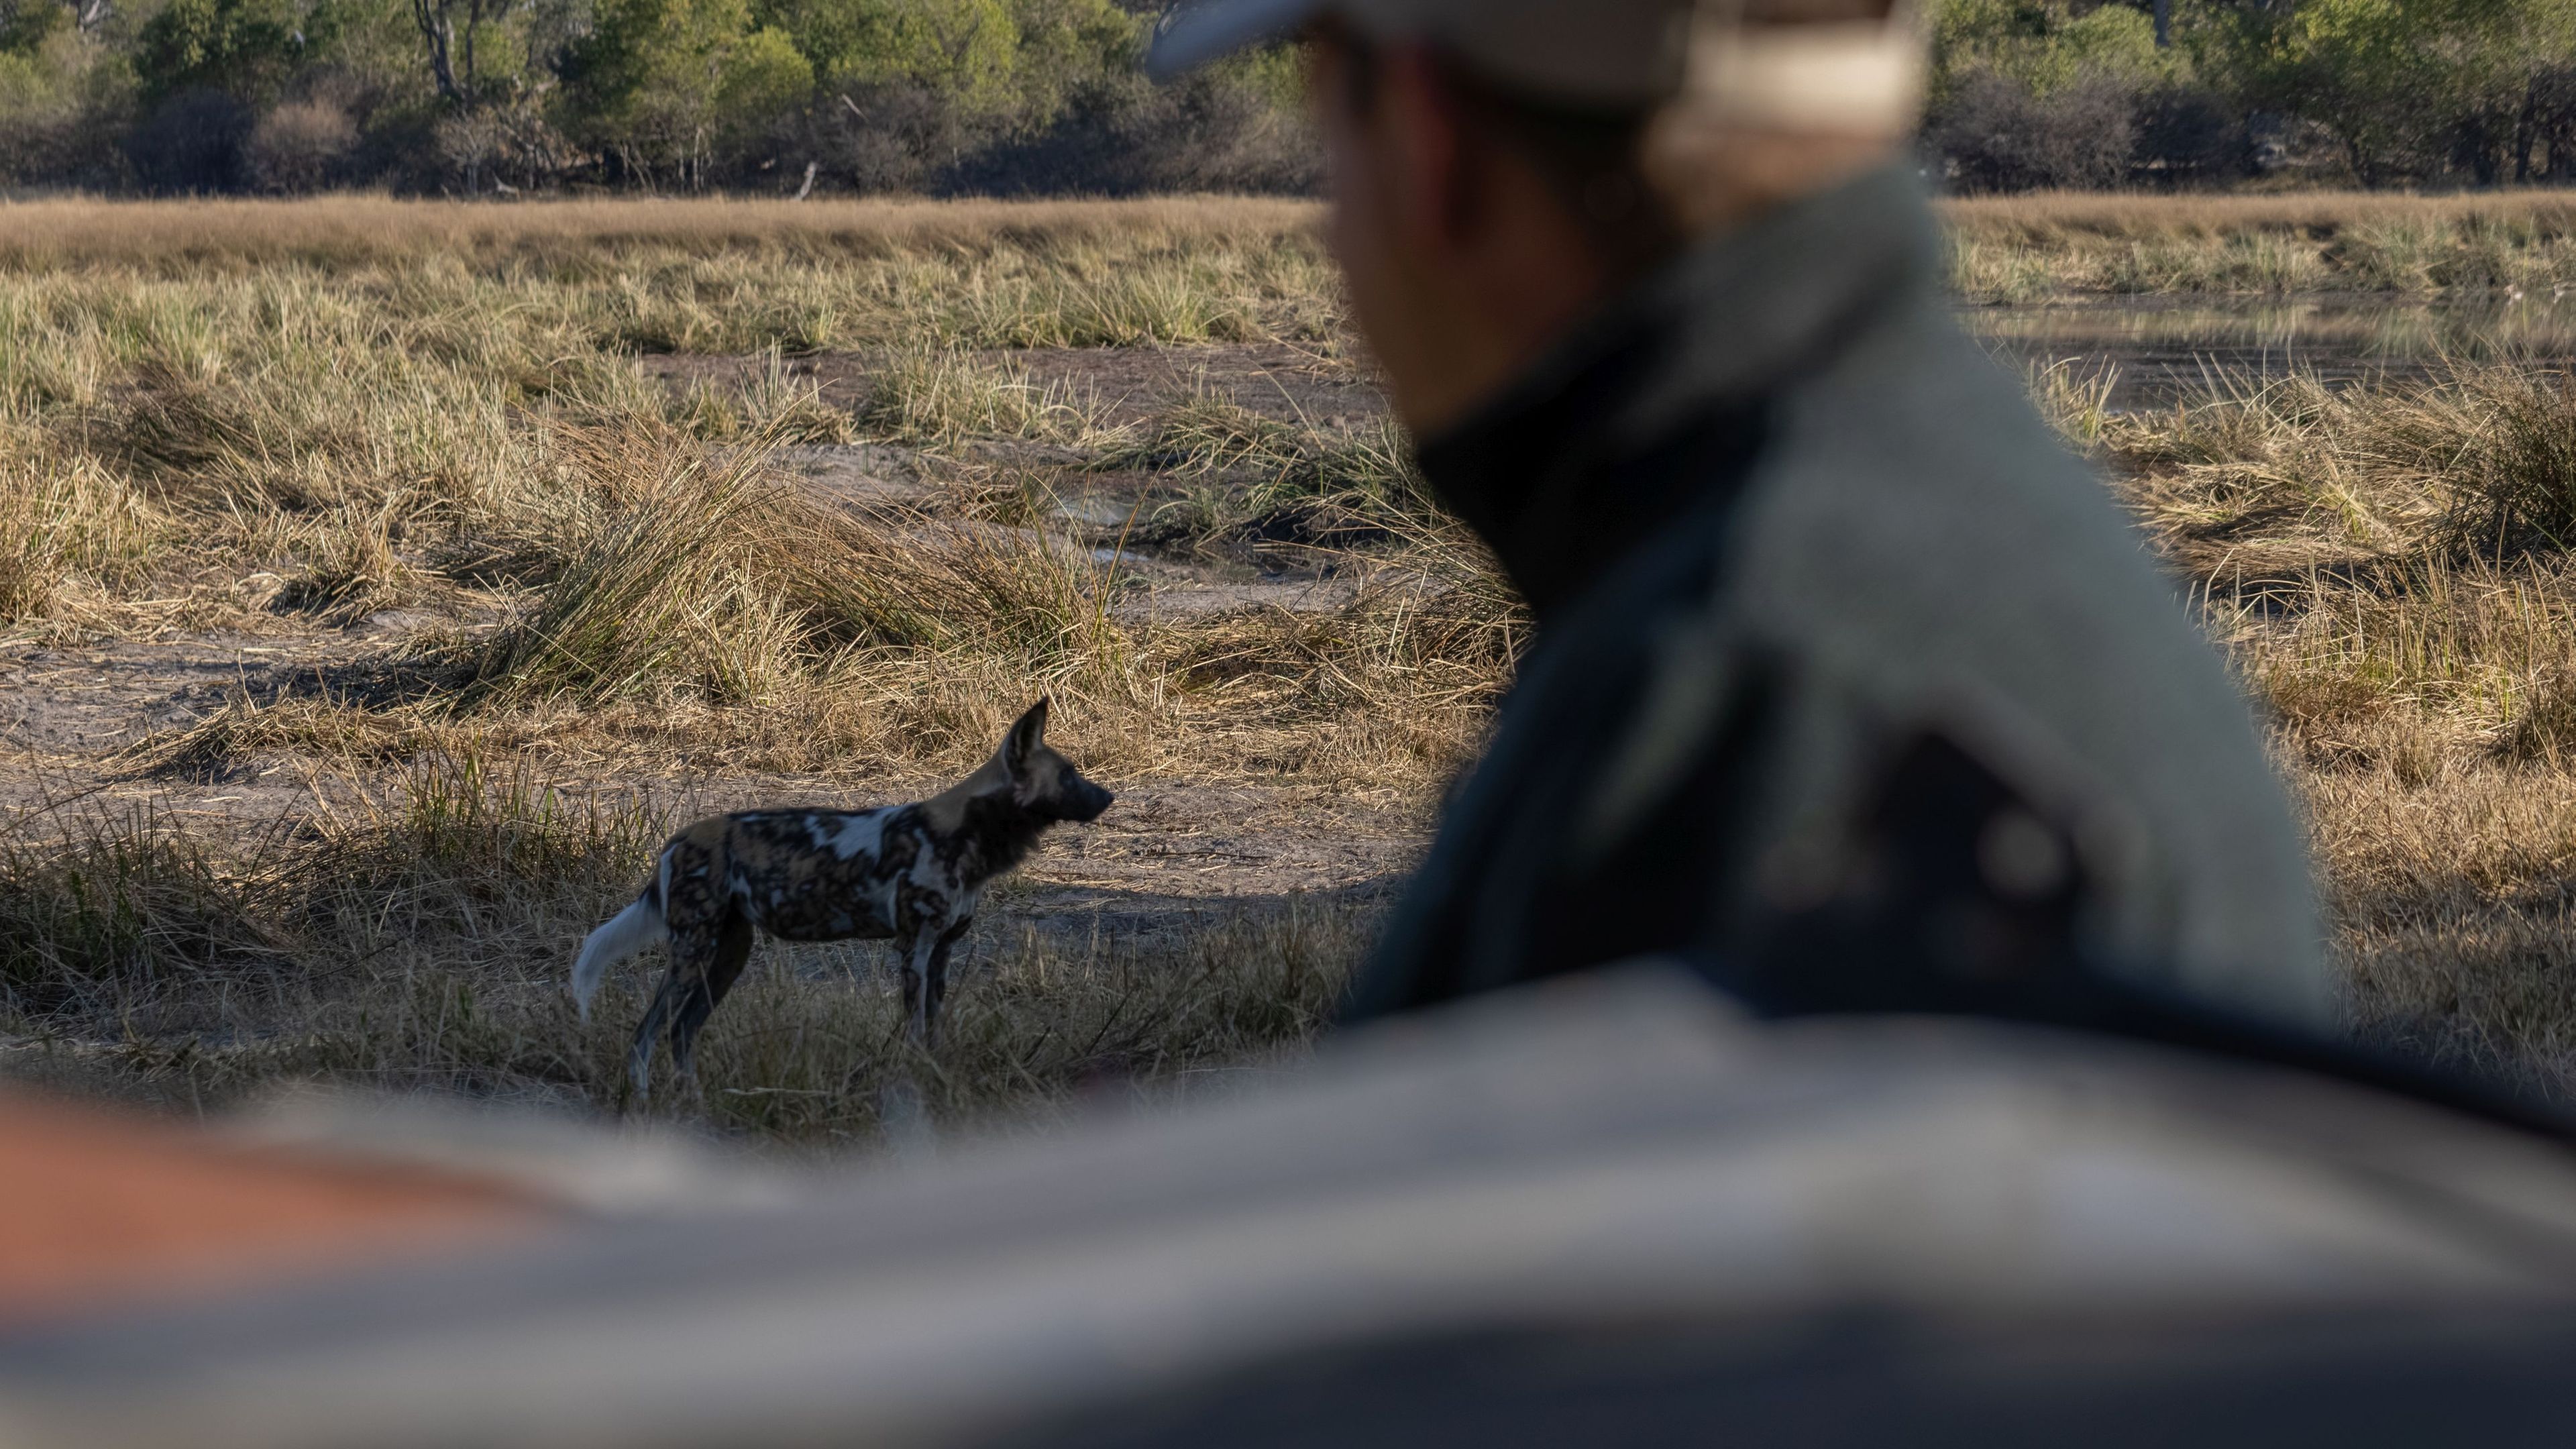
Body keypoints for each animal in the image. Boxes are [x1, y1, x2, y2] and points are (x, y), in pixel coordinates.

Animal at [574, 701, 1108, 1093]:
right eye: (1068, 775)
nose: (1109, 797)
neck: (967, 833)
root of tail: (678, 839)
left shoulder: (940, 954)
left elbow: (934, 1032)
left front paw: (936, 1080)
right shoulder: (913, 951)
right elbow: (915, 1033)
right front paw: (918, 1083)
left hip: (728, 956)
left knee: (681, 1033)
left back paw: (694, 1105)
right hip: (692, 954)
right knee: (644, 1037)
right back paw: (646, 1107)